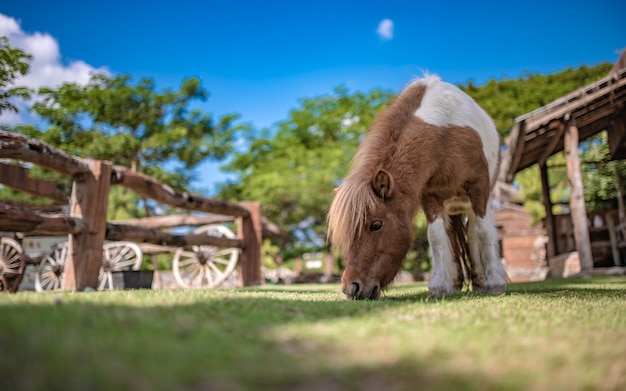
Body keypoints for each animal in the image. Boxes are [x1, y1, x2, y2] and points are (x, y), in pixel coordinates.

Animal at [326, 76, 508, 300]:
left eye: (376, 225)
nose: (351, 287)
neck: (445, 137)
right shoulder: (430, 197)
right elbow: (437, 238)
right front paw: (440, 286)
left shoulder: (478, 189)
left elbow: (483, 233)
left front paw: (496, 283)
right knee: (453, 238)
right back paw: (456, 282)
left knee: (474, 232)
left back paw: (481, 281)